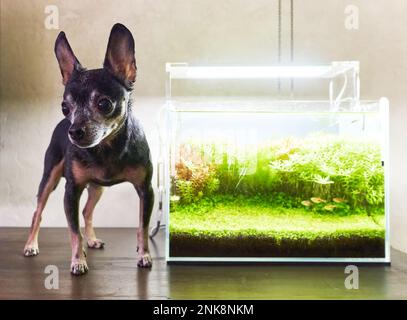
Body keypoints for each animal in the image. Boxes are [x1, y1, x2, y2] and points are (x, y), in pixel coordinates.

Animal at [23, 24, 155, 276]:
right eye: (65, 107)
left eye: (104, 104)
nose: (74, 131)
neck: (106, 150)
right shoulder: (71, 192)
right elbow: (73, 232)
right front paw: (78, 261)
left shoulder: (145, 190)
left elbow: (142, 227)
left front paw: (144, 255)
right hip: (50, 180)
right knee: (38, 212)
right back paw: (31, 245)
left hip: (96, 188)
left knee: (86, 211)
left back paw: (91, 240)